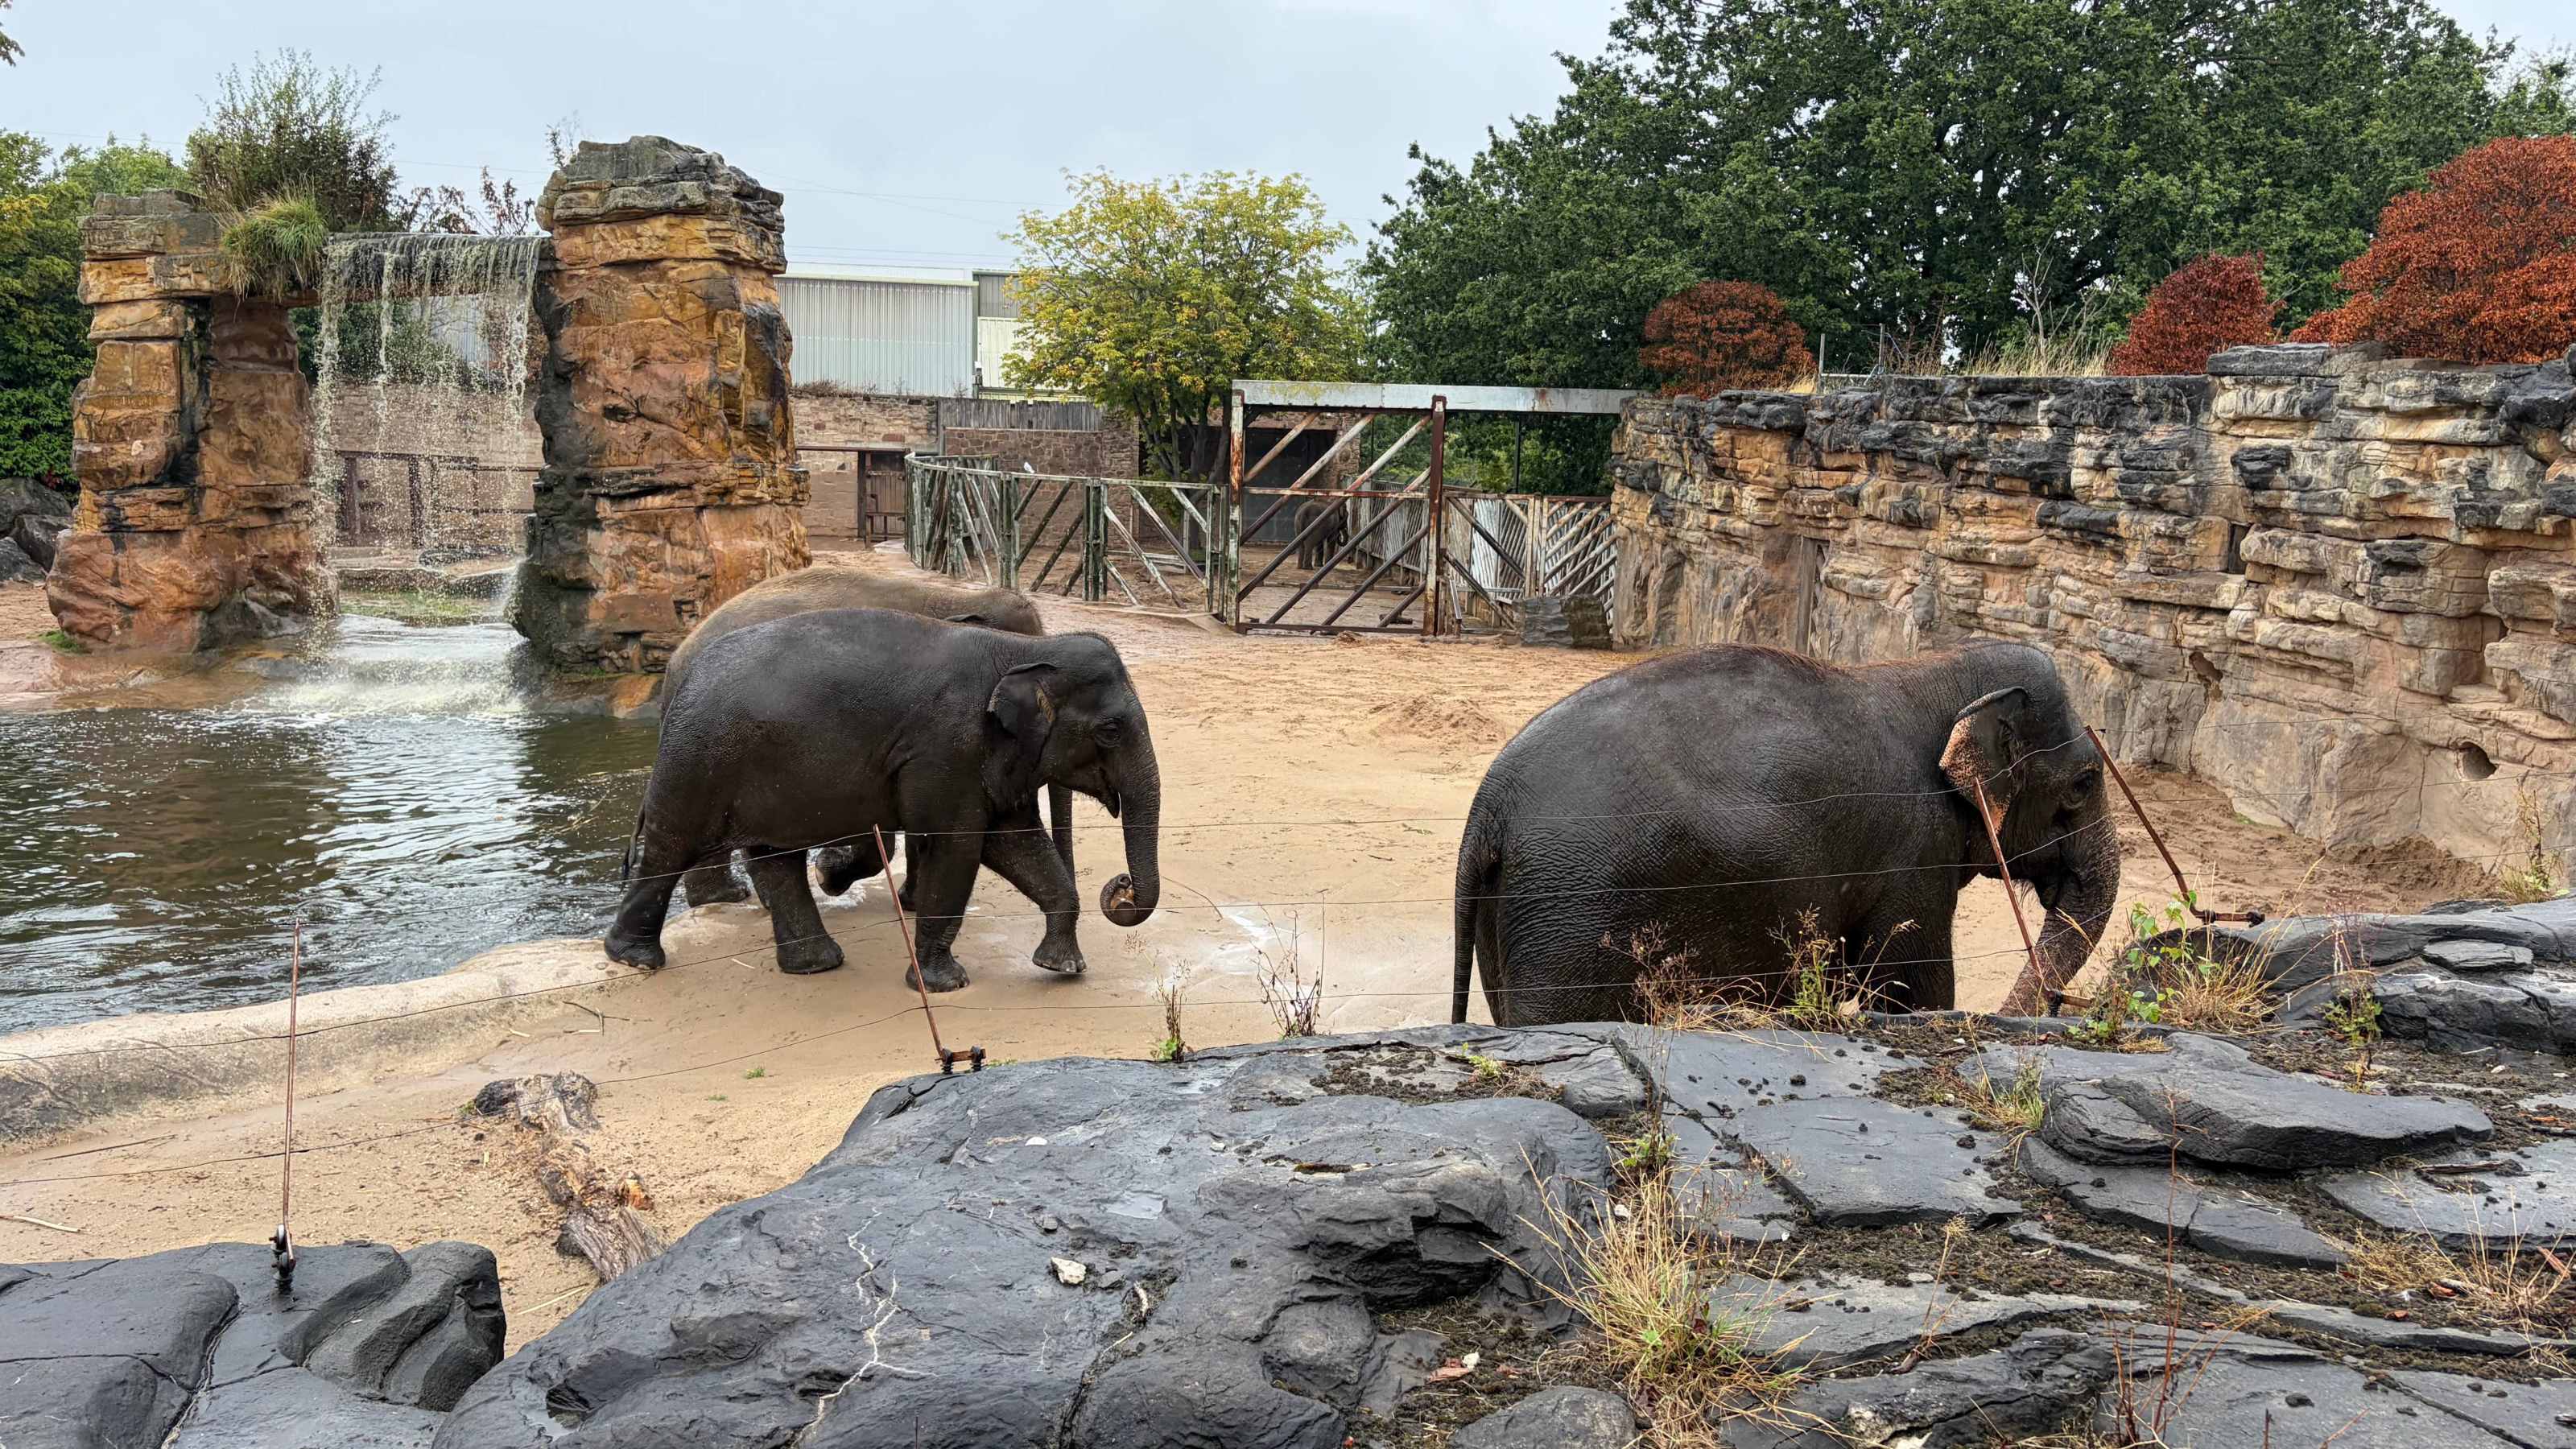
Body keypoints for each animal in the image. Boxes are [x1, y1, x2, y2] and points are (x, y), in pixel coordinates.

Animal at [608, 607, 1163, 990]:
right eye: (1111, 730)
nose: (1121, 888)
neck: (1021, 648)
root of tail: (679, 680)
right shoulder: (946, 749)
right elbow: (959, 847)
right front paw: (945, 985)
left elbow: (1016, 842)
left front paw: (1062, 967)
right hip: (696, 760)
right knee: (670, 848)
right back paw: (634, 958)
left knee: (774, 857)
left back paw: (815, 966)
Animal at [660, 562, 1067, 913]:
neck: (953, 598)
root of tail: (678, 655)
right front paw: (828, 873)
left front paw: (908, 902)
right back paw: (742, 898)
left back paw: (725, 898)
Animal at [1450, 641, 2119, 1027]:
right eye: (2085, 782)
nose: (2059, 1010)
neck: (1934, 671)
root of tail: (1489, 804)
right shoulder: (1915, 844)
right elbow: (1911, 991)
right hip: (1570, 915)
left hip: (1511, 915)